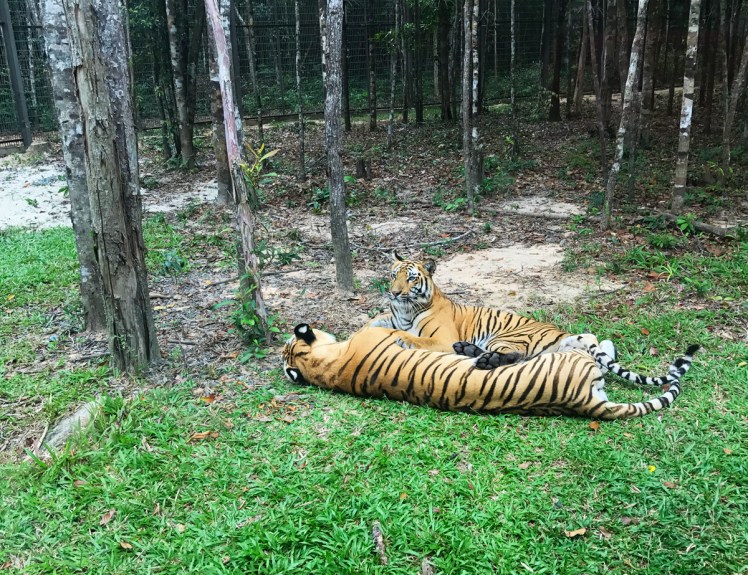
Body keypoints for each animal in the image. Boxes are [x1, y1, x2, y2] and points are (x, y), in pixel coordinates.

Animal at [369, 252, 574, 368]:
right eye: (394, 275)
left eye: (411, 278)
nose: (394, 293)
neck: (406, 310)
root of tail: (563, 333)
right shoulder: (393, 319)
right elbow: (374, 321)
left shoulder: (443, 338)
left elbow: (420, 339)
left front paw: (404, 339)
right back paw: (466, 349)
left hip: (508, 337)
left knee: (517, 355)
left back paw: (487, 361)